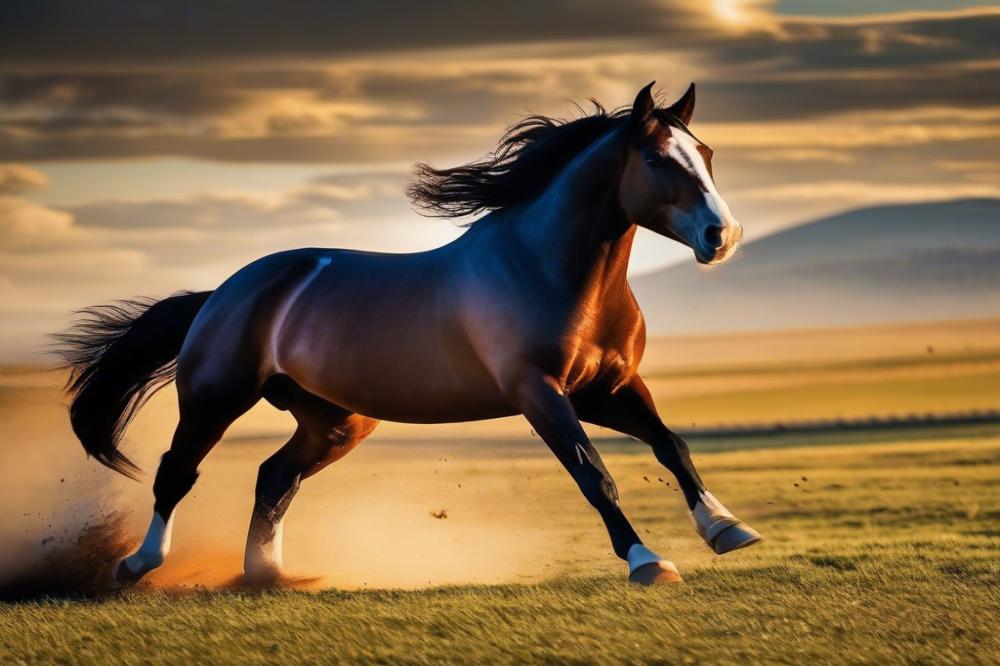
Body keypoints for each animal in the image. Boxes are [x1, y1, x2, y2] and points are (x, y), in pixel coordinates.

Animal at [56, 82, 758, 587]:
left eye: (707, 155)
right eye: (656, 158)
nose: (721, 237)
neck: (545, 268)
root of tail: (225, 292)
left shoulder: (607, 388)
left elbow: (671, 445)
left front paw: (727, 529)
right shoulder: (540, 394)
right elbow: (594, 474)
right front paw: (647, 561)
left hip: (335, 420)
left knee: (274, 476)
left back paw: (268, 574)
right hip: (214, 397)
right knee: (177, 472)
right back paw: (136, 566)